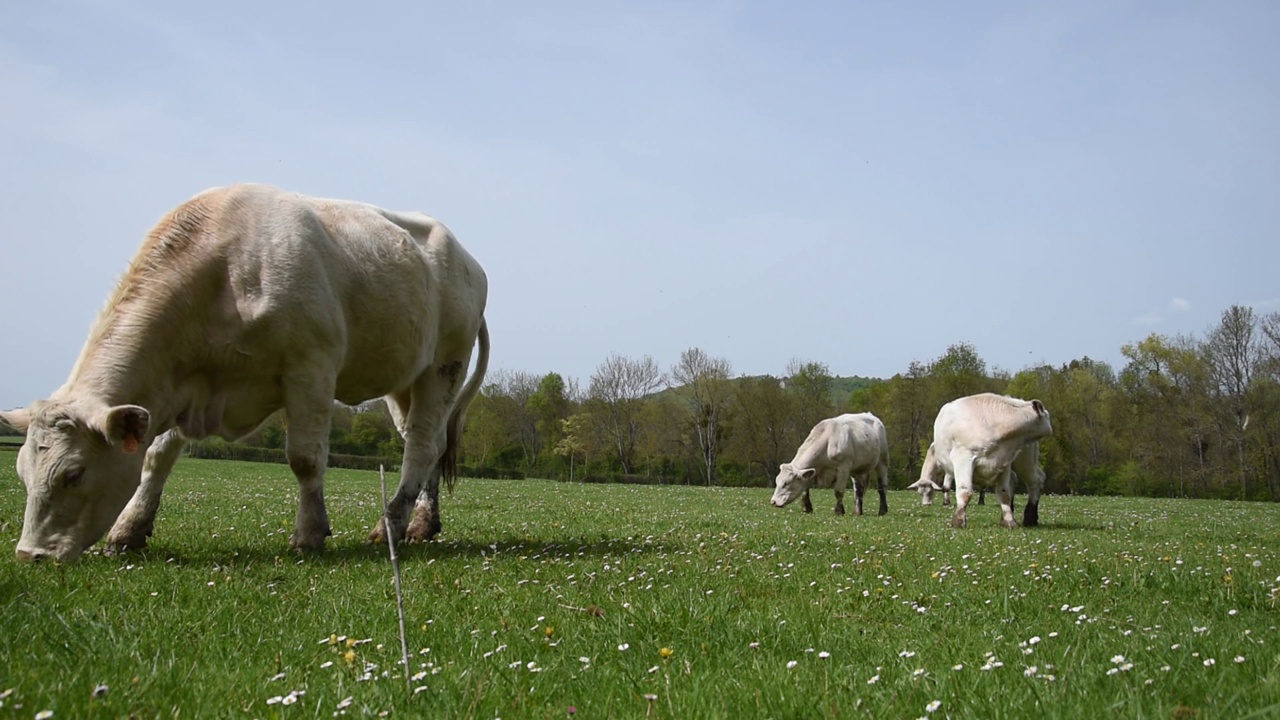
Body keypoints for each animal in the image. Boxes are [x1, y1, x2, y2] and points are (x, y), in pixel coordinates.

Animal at [0, 183, 488, 561]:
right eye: (22, 473)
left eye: (74, 474)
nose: (29, 555)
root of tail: (468, 258)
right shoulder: (185, 382)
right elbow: (157, 457)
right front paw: (129, 530)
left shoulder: (312, 367)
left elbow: (305, 458)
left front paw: (310, 533)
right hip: (405, 380)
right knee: (427, 442)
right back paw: (422, 524)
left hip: (444, 365)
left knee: (422, 447)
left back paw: (391, 524)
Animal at [931, 392, 1049, 527]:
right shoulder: (963, 458)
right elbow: (965, 492)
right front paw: (958, 521)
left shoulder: (1004, 462)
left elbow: (1004, 493)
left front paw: (1009, 521)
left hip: (1025, 460)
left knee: (1035, 481)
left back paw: (1030, 517)